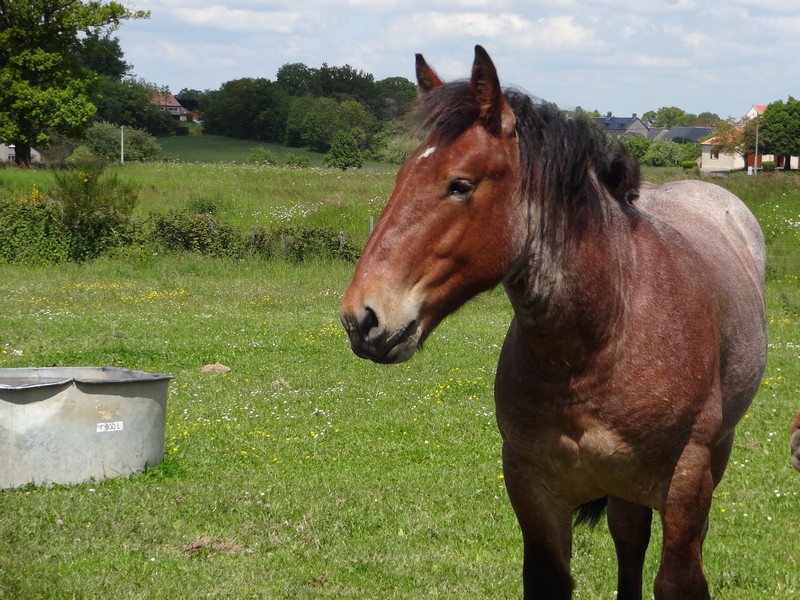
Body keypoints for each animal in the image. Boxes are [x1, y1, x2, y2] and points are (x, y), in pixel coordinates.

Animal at [340, 44, 768, 596]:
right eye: (399, 177)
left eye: (460, 184)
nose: (362, 317)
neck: (603, 334)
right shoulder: (532, 486)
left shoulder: (686, 484)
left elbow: (678, 581)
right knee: (629, 538)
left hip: (713, 455)